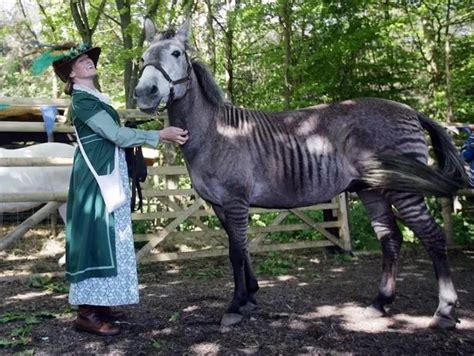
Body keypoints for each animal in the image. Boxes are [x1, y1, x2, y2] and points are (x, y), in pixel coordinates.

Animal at [133, 19, 466, 330]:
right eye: (143, 57)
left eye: (176, 53)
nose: (144, 93)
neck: (215, 132)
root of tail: (410, 111)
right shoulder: (220, 205)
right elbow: (240, 248)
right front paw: (250, 297)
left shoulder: (236, 201)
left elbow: (237, 252)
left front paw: (236, 305)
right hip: (371, 189)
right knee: (391, 239)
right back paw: (380, 302)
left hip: (404, 190)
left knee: (433, 236)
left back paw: (444, 310)